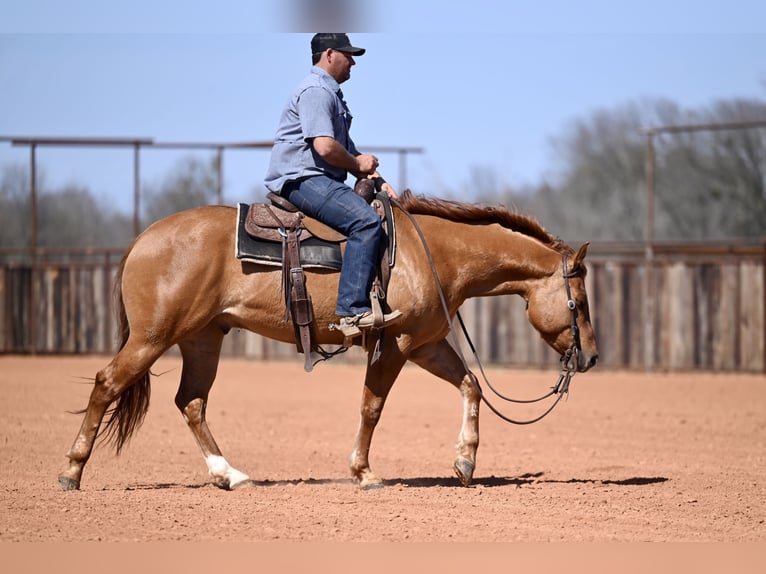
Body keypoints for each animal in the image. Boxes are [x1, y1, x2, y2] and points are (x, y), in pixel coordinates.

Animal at [58, 189, 600, 490]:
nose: (592, 357)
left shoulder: (425, 344)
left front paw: (465, 461)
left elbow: (471, 386)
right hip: (153, 337)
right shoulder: (394, 344)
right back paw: (72, 472)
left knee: (191, 402)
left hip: (202, 339)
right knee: (107, 384)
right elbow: (371, 408)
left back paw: (231, 475)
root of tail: (144, 238)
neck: (435, 253)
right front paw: (364, 473)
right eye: (579, 300)